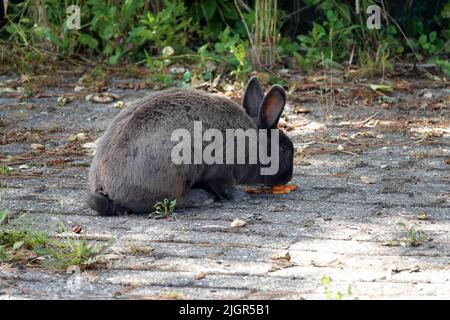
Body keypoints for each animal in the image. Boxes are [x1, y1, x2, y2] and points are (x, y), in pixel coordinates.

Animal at [88, 77, 294, 215]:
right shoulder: (221, 171)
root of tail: (105, 189)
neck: (254, 143)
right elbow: (226, 187)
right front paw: (242, 197)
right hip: (176, 173)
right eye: (284, 149)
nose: (287, 178)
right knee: (171, 200)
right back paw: (202, 198)